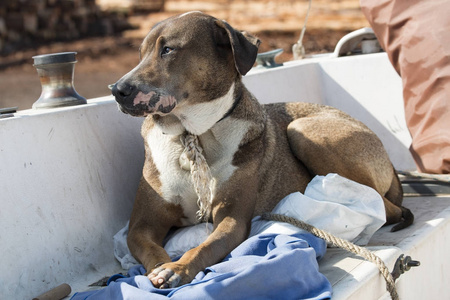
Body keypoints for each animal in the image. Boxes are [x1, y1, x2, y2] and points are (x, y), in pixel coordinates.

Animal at [110, 12, 414, 290]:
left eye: (168, 49)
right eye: (140, 54)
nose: (117, 90)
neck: (192, 135)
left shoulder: (232, 220)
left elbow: (205, 247)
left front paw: (178, 268)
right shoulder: (142, 226)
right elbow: (152, 249)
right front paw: (162, 268)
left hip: (303, 130)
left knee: (386, 207)